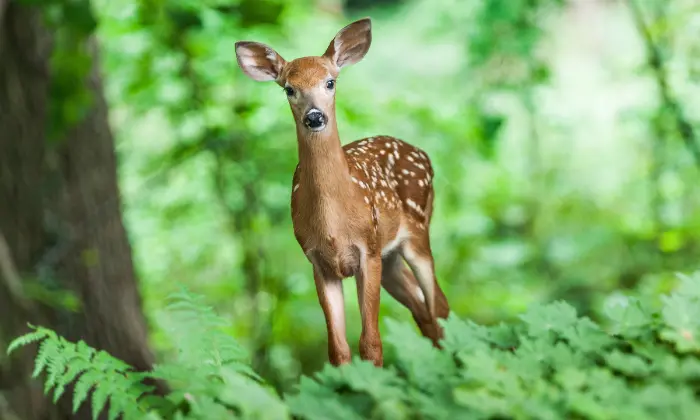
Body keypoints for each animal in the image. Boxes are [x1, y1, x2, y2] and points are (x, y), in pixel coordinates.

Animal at [235, 17, 452, 368]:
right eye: (289, 88)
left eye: (330, 82)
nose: (314, 117)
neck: (334, 223)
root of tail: (423, 154)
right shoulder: (318, 261)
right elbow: (337, 349)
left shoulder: (367, 250)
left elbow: (371, 343)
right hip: (390, 257)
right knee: (423, 309)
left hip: (417, 232)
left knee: (439, 306)